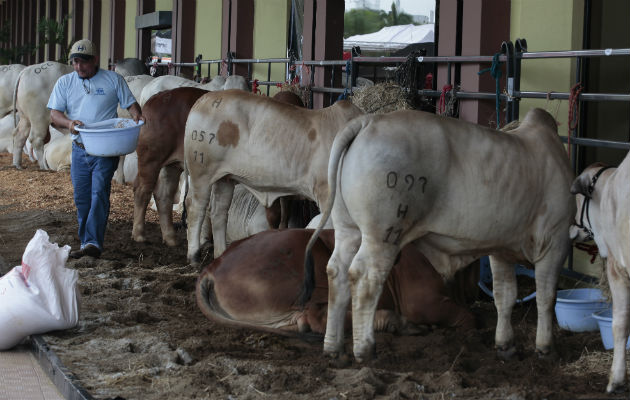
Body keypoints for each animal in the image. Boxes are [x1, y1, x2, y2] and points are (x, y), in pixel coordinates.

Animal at [185, 90, 366, 262]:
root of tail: (205, 99)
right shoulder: (326, 193)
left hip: (224, 178)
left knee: (219, 212)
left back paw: (221, 253)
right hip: (201, 171)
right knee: (196, 208)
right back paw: (194, 255)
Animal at [198, 228, 474, 334]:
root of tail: (211, 266)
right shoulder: (423, 300)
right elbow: (467, 317)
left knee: (306, 322)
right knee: (317, 316)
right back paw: (396, 322)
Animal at [304, 107, 580, 362]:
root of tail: (368, 121)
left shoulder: (501, 249)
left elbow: (505, 295)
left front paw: (506, 345)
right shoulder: (555, 242)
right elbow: (546, 297)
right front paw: (546, 348)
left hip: (348, 228)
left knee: (337, 271)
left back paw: (334, 348)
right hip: (382, 234)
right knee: (365, 277)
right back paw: (364, 349)